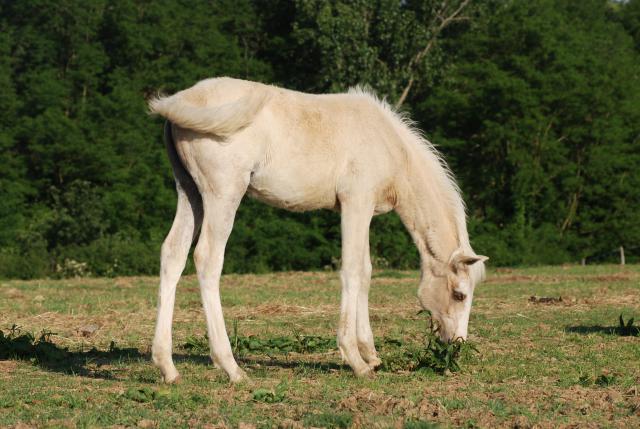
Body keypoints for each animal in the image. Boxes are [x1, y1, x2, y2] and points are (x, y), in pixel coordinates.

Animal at [148, 77, 488, 382]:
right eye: (459, 294)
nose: (456, 346)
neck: (388, 144)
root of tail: (183, 100)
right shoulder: (355, 204)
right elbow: (352, 270)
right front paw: (356, 360)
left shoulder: (364, 211)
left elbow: (365, 273)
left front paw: (371, 354)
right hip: (223, 194)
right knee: (207, 259)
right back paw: (231, 367)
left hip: (190, 193)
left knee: (173, 255)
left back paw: (168, 367)